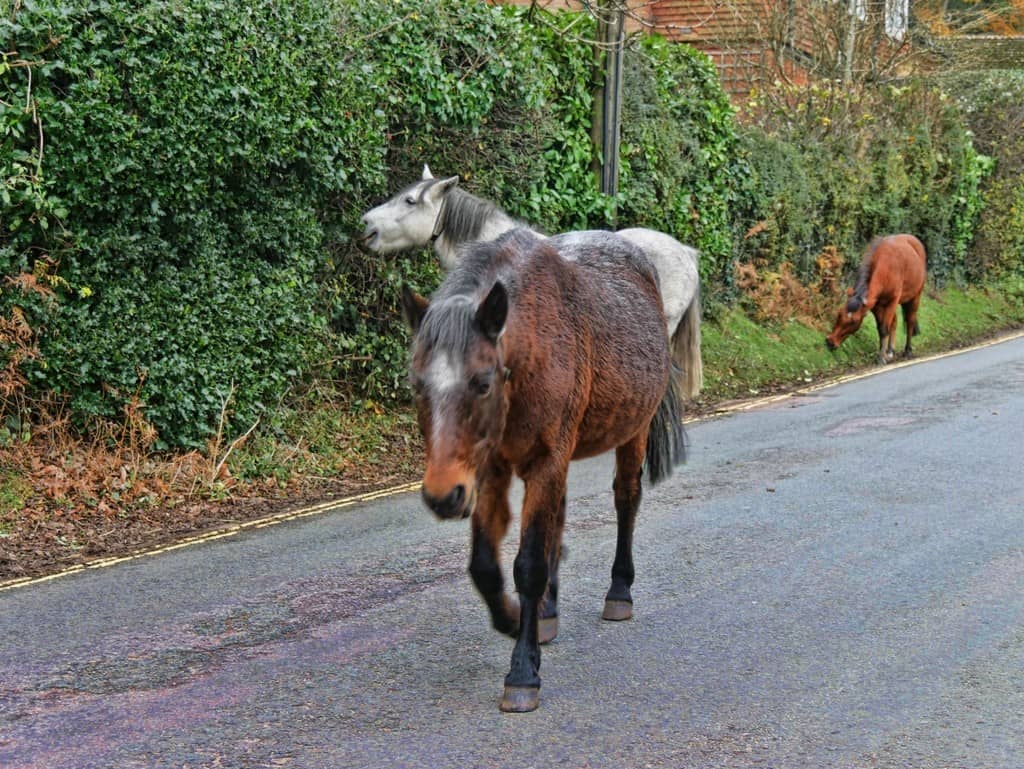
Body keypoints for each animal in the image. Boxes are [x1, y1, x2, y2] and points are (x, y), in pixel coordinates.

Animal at [401, 228, 686, 713]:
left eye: (482, 383)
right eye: (418, 386)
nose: (443, 495)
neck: (531, 350)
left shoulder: (544, 463)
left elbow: (529, 565)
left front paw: (522, 672)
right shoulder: (490, 470)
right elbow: (486, 567)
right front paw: (518, 620)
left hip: (634, 432)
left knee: (626, 500)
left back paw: (619, 591)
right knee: (560, 518)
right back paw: (547, 611)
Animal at [825, 234, 927, 365]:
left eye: (853, 321)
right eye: (839, 314)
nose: (830, 342)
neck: (886, 268)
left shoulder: (892, 301)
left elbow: (884, 329)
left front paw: (881, 358)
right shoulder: (876, 306)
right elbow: (881, 329)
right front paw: (883, 354)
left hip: (915, 297)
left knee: (910, 321)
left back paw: (907, 351)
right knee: (894, 322)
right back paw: (890, 351)